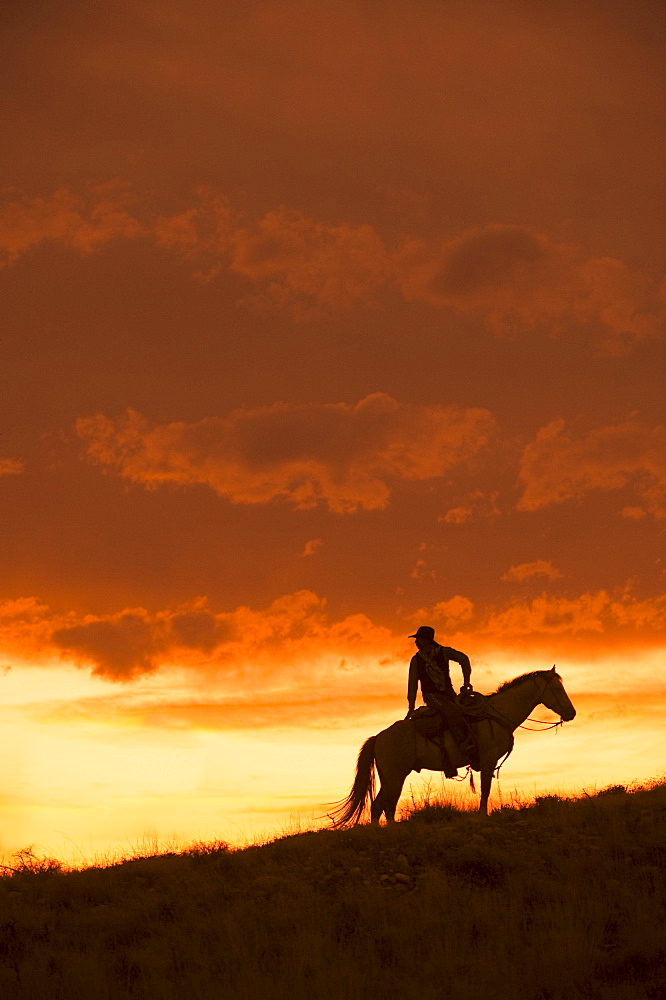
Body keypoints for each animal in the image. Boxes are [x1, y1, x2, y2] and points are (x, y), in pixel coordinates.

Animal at [330, 668, 572, 824]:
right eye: (557, 689)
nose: (572, 713)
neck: (495, 715)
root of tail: (379, 737)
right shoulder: (488, 758)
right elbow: (485, 789)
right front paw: (483, 816)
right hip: (394, 776)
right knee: (381, 805)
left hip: (393, 777)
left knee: (385, 806)